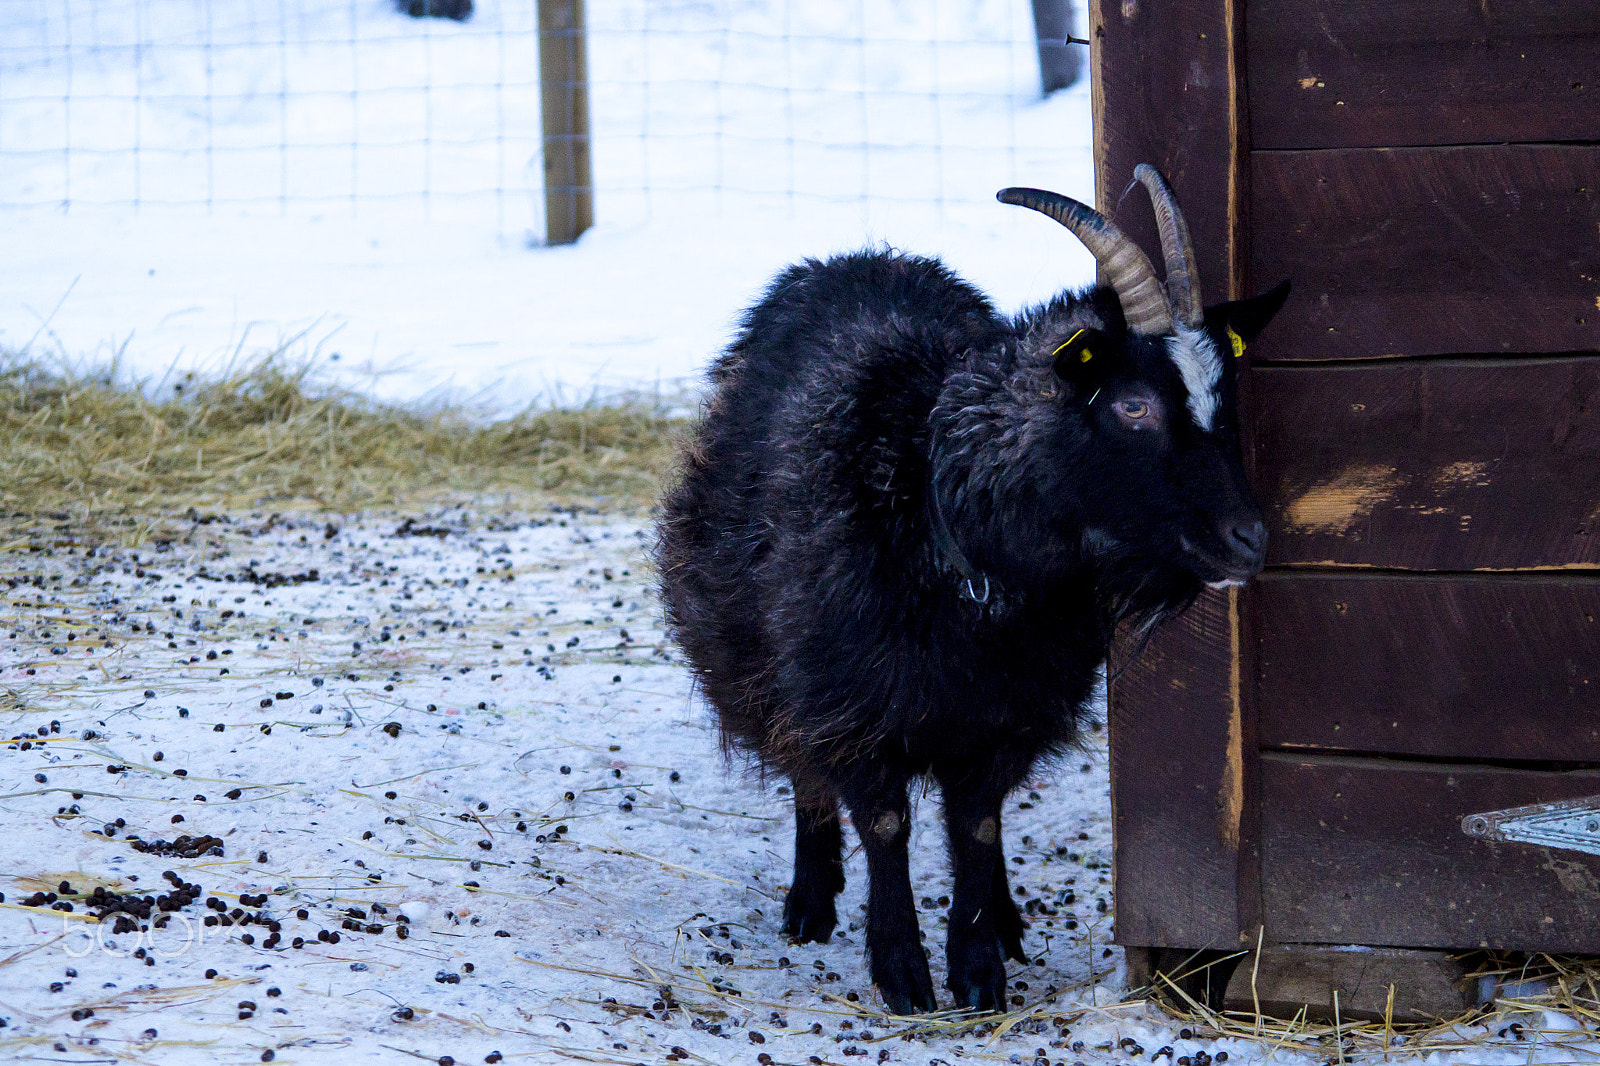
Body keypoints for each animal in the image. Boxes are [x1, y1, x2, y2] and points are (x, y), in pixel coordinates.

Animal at [656, 168, 1292, 1011]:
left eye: (1225, 399)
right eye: (1134, 405)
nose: (1249, 539)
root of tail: (857, 258)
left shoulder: (1012, 708)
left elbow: (978, 826)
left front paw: (980, 961)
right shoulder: (846, 695)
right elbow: (884, 822)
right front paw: (902, 970)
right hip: (753, 647)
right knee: (801, 769)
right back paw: (811, 898)